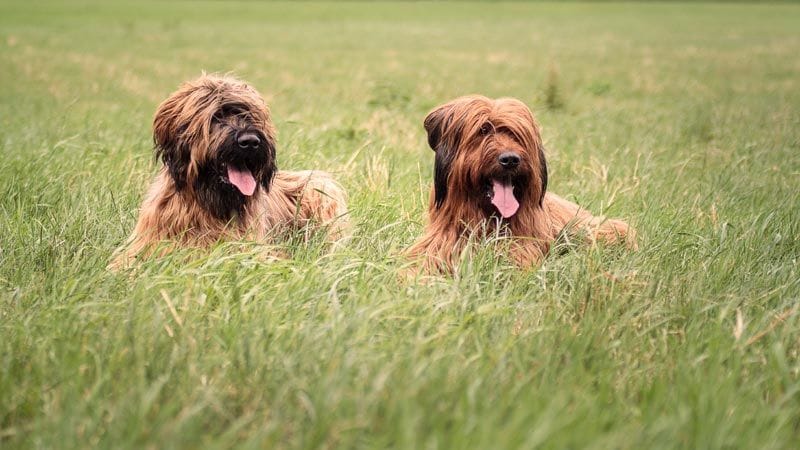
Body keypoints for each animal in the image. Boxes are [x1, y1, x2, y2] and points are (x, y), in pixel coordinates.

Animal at [410, 94, 636, 274]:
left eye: (516, 134)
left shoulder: (523, 246)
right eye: (483, 130)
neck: (489, 217)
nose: (510, 159)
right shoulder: (441, 241)